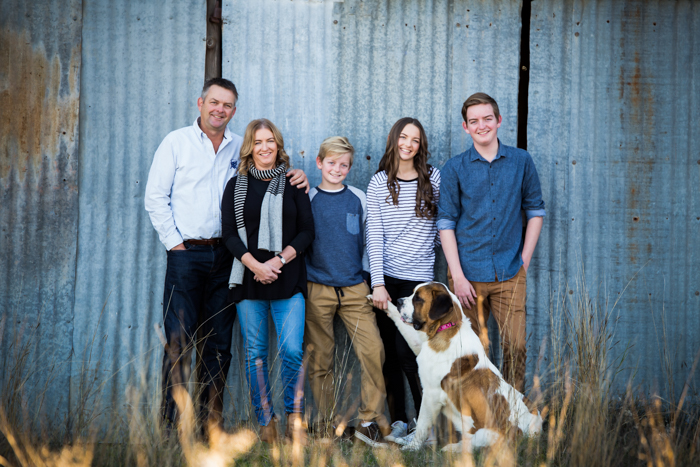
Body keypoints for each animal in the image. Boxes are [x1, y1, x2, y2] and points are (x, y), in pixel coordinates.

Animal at [372, 284, 540, 452]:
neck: (445, 326)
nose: (399, 301)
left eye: (418, 298)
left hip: (489, 434)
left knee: (472, 445)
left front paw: (412, 447)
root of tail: (533, 432)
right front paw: (382, 302)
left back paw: (451, 448)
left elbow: (422, 424)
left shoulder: (431, 394)